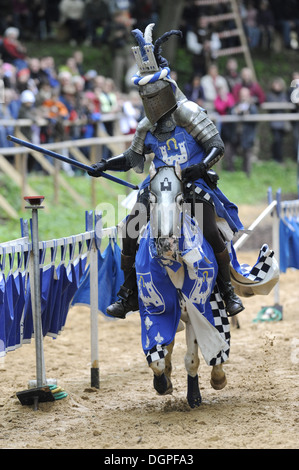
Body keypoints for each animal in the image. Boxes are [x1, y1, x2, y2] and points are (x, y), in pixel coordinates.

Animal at [135, 164, 231, 408]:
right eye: (151, 198)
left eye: (180, 199)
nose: (166, 243)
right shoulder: (156, 311)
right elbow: (157, 358)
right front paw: (162, 384)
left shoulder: (197, 310)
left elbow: (193, 359)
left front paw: (195, 395)